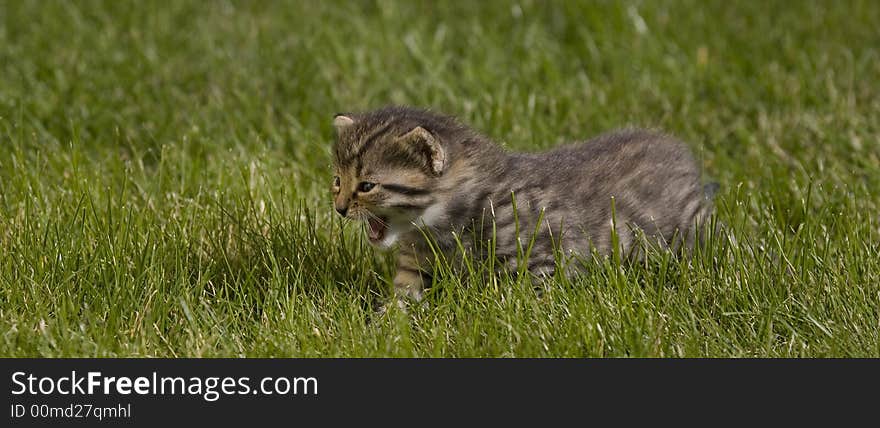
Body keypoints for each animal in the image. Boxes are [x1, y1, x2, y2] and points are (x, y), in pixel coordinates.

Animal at [330, 107, 716, 308]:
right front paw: (384, 325)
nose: (339, 208)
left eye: (366, 186)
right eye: (337, 180)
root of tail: (679, 150)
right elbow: (404, 296)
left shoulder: (541, 255)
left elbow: (527, 296)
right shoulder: (416, 265)